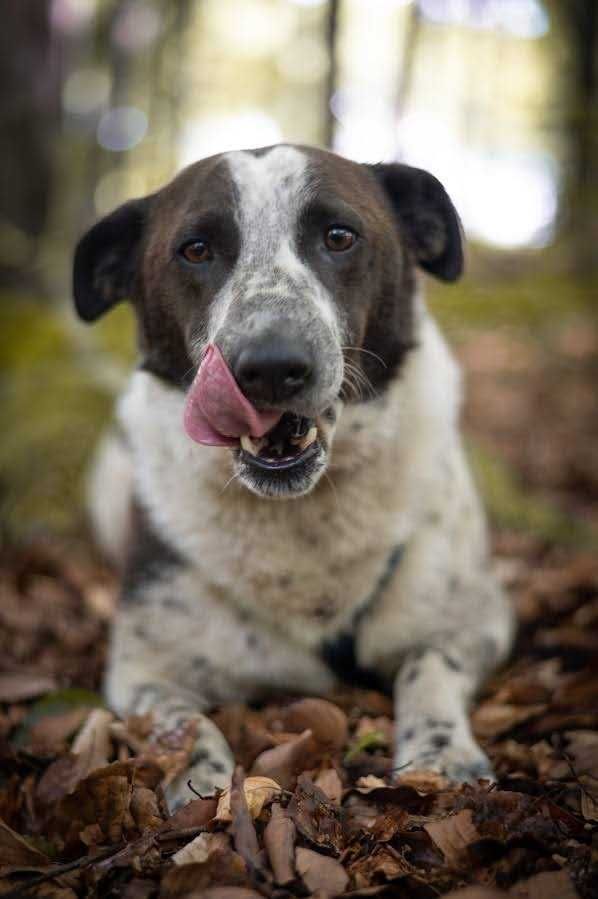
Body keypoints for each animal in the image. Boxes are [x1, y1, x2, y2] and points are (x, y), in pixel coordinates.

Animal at [75, 142, 516, 808]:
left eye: (339, 236)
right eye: (195, 249)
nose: (271, 367)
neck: (302, 514)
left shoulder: (478, 619)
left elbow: (429, 665)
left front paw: (441, 754)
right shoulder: (143, 668)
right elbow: (181, 722)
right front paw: (201, 783)